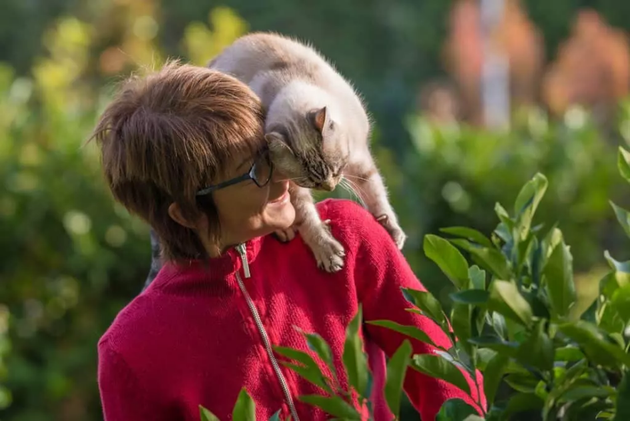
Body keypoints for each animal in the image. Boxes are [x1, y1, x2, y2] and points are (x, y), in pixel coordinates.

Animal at [210, 30, 408, 272]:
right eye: (311, 182)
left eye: (336, 169)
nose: (330, 187)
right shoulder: (291, 186)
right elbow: (306, 217)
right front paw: (327, 252)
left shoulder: (359, 161)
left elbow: (377, 195)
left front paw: (391, 230)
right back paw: (285, 231)